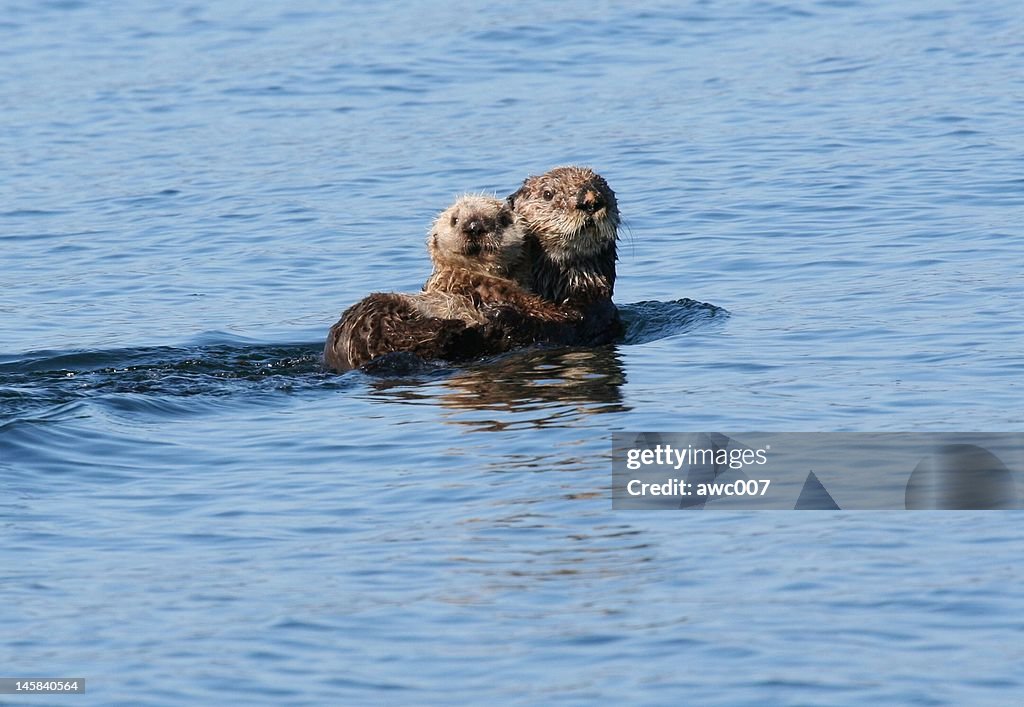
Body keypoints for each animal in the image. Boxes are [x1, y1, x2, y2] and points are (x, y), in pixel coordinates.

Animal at [321, 192, 577, 368]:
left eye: (503, 218)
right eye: (455, 220)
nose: (474, 227)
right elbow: (545, 311)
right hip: (379, 312)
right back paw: (460, 326)